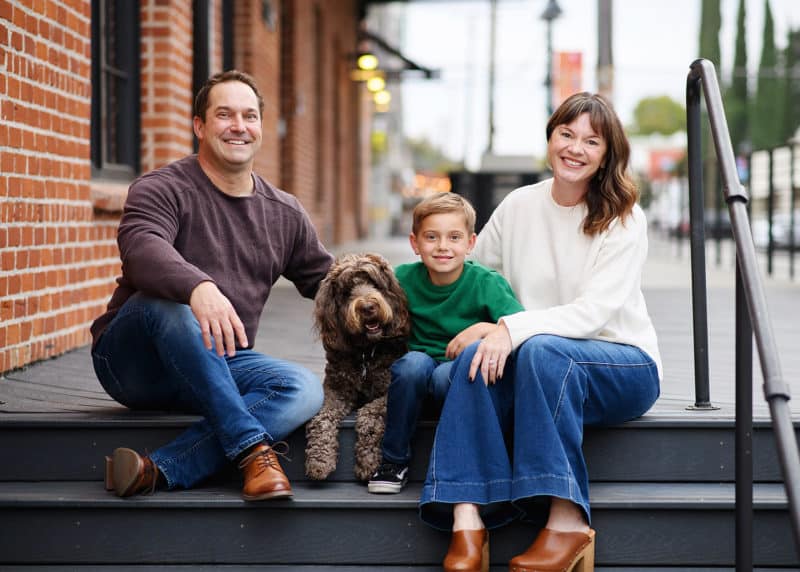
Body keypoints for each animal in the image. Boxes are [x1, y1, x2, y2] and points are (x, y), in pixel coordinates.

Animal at [304, 252, 410, 480]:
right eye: (346, 292)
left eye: (374, 284)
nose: (368, 307)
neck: (365, 353)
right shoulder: (335, 390)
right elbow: (322, 417)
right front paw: (320, 459)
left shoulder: (388, 392)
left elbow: (369, 414)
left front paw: (368, 461)